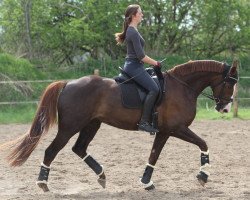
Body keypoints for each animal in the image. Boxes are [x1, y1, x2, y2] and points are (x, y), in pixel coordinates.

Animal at [0, 59, 238, 191]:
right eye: (229, 83)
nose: (225, 108)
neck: (182, 87)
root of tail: (68, 83)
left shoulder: (164, 132)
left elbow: (154, 155)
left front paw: (146, 182)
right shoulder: (176, 129)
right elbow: (203, 143)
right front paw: (203, 175)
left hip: (92, 125)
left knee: (79, 148)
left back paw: (101, 176)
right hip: (70, 127)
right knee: (51, 150)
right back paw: (43, 183)